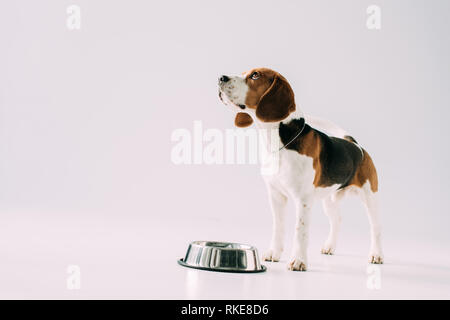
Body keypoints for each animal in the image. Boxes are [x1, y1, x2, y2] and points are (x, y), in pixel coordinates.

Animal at [218, 69, 384, 272]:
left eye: (255, 75)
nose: (221, 78)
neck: (278, 143)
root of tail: (355, 145)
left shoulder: (303, 200)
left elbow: (300, 231)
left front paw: (298, 261)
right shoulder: (276, 196)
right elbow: (278, 227)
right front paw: (274, 253)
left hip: (370, 197)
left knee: (376, 228)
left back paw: (376, 255)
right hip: (329, 200)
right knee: (337, 220)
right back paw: (330, 246)